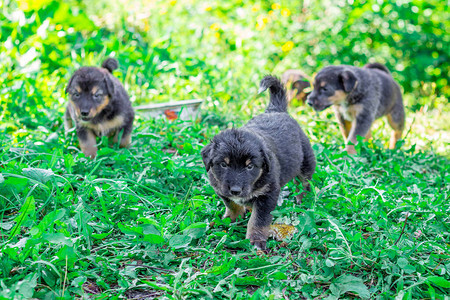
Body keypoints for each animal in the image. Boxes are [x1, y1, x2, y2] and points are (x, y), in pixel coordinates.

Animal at [202, 75, 314, 251]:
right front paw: (232, 218)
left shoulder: (268, 194)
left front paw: (255, 240)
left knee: (304, 182)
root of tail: (275, 110)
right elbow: (231, 204)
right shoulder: (219, 187)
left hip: (306, 161)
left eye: (250, 166)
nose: (235, 190)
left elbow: (258, 219)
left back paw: (302, 198)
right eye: (223, 164)